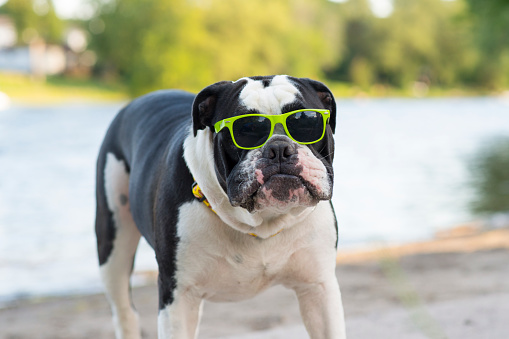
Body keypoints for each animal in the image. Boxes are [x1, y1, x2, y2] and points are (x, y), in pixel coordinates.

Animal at [95, 75, 346, 338]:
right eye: (246, 129)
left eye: (307, 122)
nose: (278, 148)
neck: (261, 222)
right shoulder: (177, 296)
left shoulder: (319, 288)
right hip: (113, 248)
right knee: (124, 310)